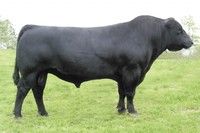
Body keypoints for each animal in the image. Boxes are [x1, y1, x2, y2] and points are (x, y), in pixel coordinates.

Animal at [12, 15, 192, 117]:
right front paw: (132, 111)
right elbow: (130, 92)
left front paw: (121, 110)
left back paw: (43, 113)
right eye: (179, 30)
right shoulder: (132, 70)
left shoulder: (121, 74)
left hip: (41, 72)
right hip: (30, 72)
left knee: (38, 91)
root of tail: (33, 26)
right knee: (22, 89)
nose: (191, 42)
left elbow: (121, 92)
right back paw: (17, 114)